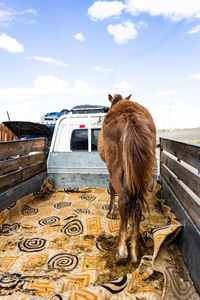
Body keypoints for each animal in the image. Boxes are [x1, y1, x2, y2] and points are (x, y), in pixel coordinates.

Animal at [98, 94, 156, 262]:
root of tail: (130, 117)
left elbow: (111, 188)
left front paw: (110, 211)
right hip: (144, 170)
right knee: (137, 203)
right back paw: (135, 251)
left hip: (115, 166)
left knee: (124, 198)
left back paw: (121, 250)